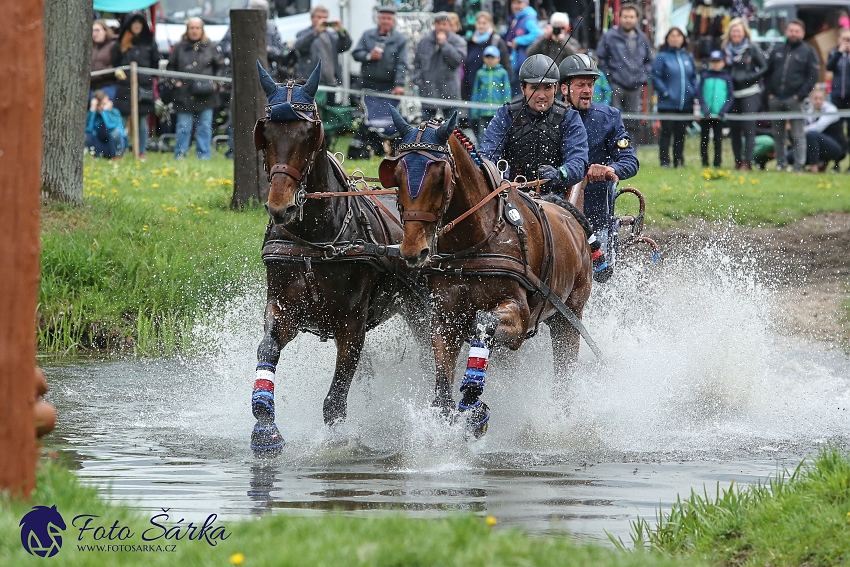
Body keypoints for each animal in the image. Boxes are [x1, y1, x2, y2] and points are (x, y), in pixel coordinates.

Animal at [250, 60, 424, 454]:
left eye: (308, 134)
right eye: (265, 133)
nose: (280, 207)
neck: (314, 242)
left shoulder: (351, 324)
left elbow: (335, 399)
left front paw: (337, 445)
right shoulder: (282, 308)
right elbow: (266, 350)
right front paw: (265, 428)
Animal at [380, 110, 592, 440]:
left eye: (440, 176)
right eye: (397, 176)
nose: (413, 250)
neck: (476, 241)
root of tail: (570, 216)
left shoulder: (518, 318)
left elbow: (484, 322)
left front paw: (473, 404)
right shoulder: (445, 318)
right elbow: (442, 381)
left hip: (568, 315)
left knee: (564, 369)